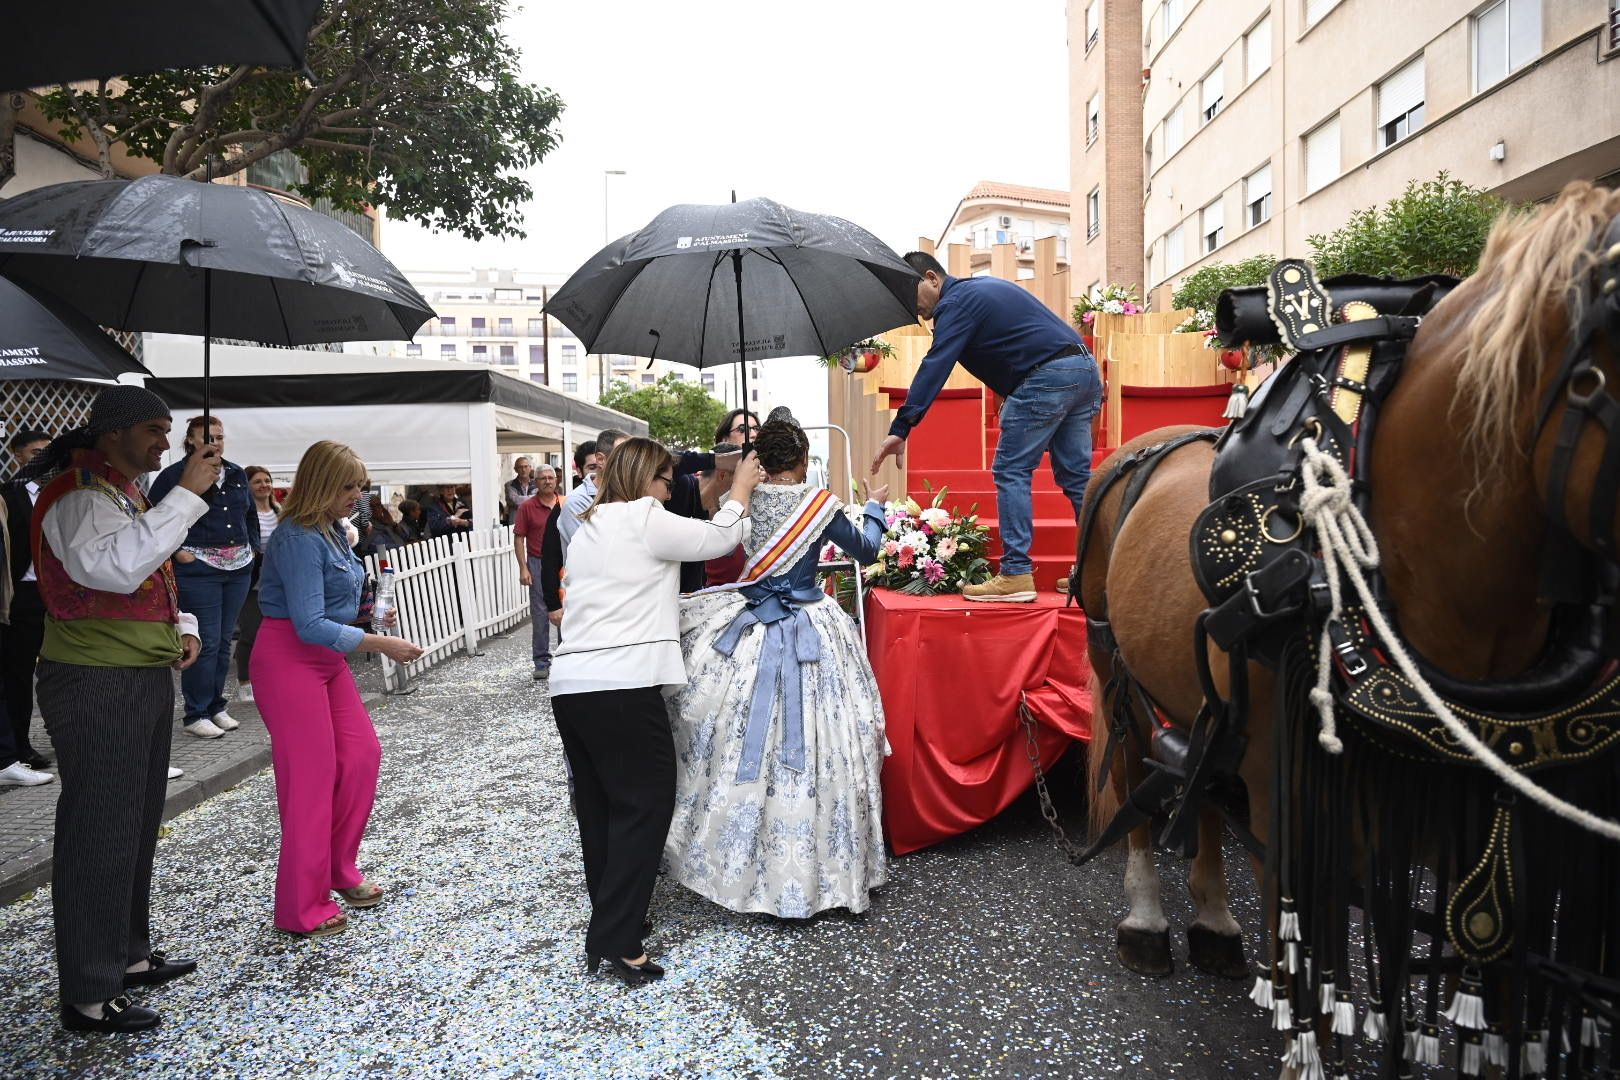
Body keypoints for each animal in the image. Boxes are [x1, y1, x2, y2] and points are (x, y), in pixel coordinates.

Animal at [1075, 181, 1620, 1003]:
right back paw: (1145, 917)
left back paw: (1214, 921)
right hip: (1113, 663)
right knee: (1138, 769)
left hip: (1202, 699)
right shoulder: (1296, 819)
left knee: (1200, 781)